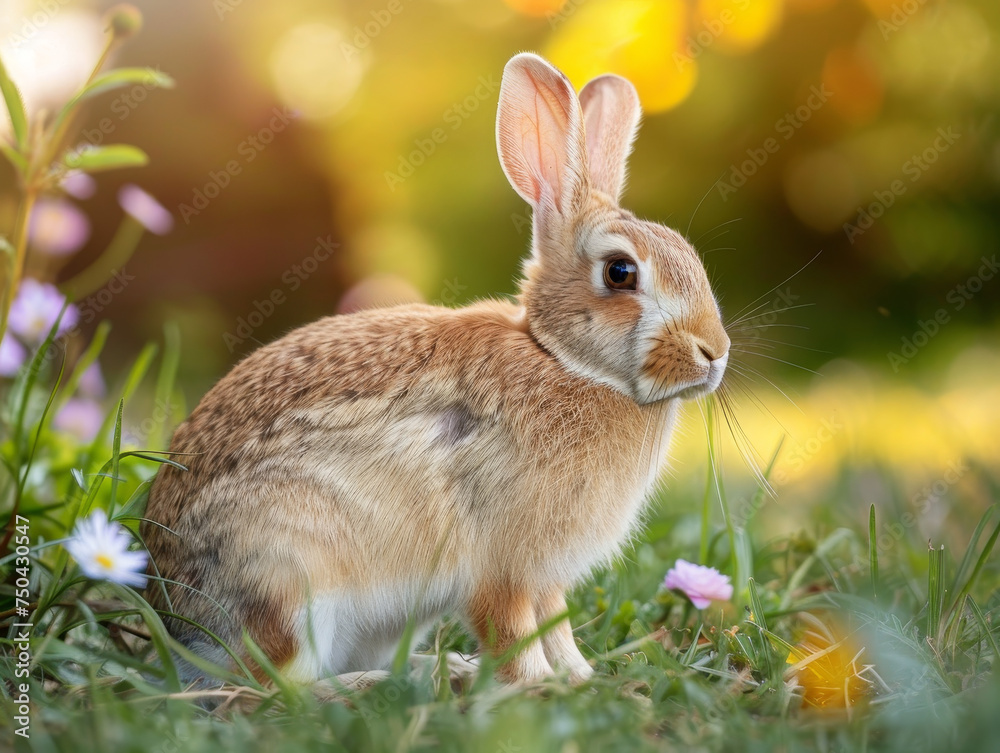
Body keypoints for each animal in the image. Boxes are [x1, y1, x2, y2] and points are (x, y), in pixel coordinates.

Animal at [141, 52, 730, 686]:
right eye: (621, 272)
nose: (714, 351)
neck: (561, 358)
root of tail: (180, 625)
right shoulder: (501, 564)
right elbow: (513, 628)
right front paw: (537, 685)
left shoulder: (545, 575)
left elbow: (557, 623)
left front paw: (579, 677)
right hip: (289, 572)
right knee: (278, 685)